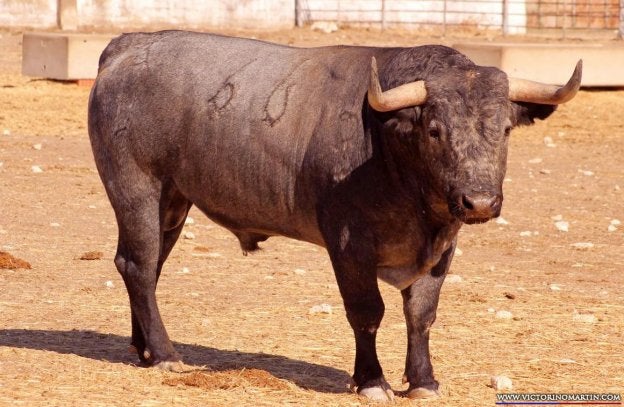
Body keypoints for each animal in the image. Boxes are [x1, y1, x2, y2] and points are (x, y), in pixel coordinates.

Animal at [88, 30, 581, 401]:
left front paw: (423, 380)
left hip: (172, 202)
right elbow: (366, 312)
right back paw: (166, 355)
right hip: (136, 189)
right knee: (138, 265)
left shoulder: (443, 248)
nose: (478, 202)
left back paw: (144, 349)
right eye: (435, 130)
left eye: (505, 129)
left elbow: (421, 313)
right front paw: (372, 380)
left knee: (148, 268)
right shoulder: (348, 245)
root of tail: (128, 46)